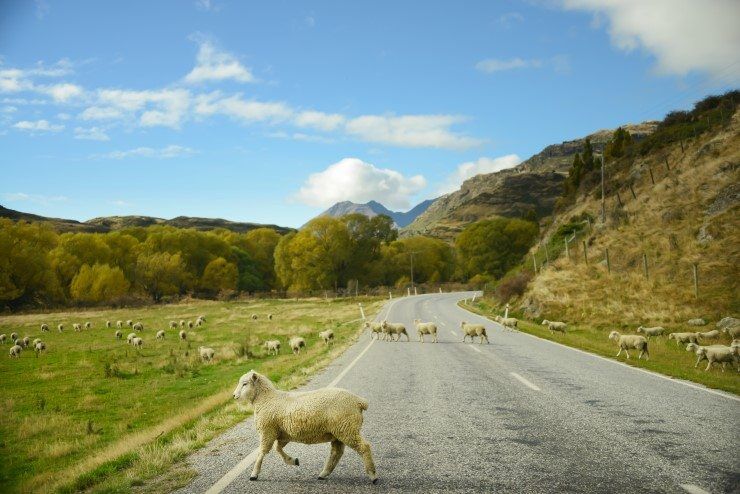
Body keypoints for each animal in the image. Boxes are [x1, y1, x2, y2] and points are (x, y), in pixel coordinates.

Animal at [231, 370, 378, 482]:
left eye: (245, 384)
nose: (234, 396)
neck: (266, 399)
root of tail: (359, 401)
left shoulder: (267, 431)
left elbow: (262, 452)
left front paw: (254, 474)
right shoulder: (282, 434)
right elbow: (278, 449)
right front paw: (293, 460)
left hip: (347, 429)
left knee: (364, 447)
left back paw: (372, 475)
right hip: (339, 431)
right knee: (336, 452)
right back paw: (324, 473)